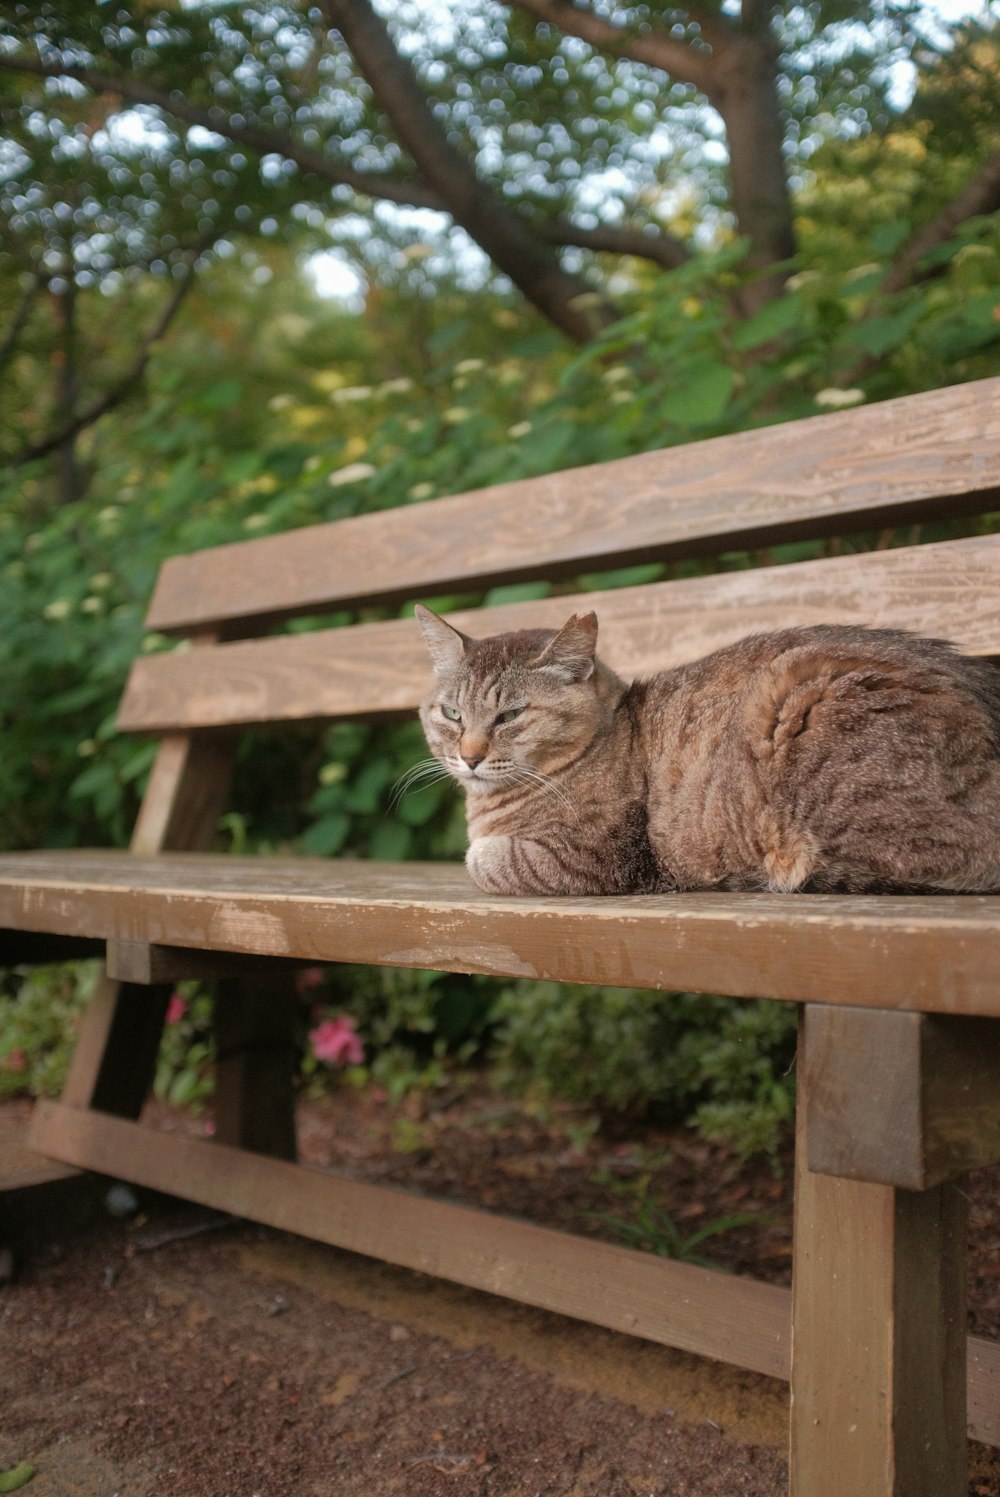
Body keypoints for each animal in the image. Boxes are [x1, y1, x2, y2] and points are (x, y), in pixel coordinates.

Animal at [413, 601, 999, 892]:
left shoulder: (594, 857)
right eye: (451, 713)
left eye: (510, 714)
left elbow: (486, 861)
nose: (470, 755)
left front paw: (480, 852)